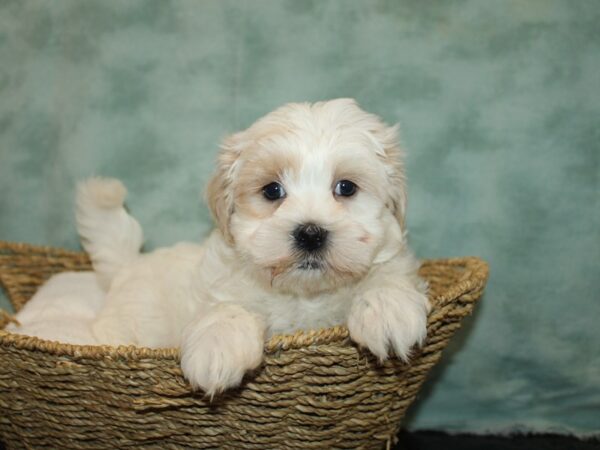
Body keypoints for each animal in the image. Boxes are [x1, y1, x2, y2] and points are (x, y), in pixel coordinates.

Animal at [11, 99, 432, 398]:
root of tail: (129, 265)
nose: (311, 233)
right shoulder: (222, 287)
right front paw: (217, 348)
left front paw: (386, 310)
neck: (304, 295)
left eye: (346, 188)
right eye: (272, 191)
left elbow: (386, 276)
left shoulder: (392, 259)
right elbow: (228, 309)